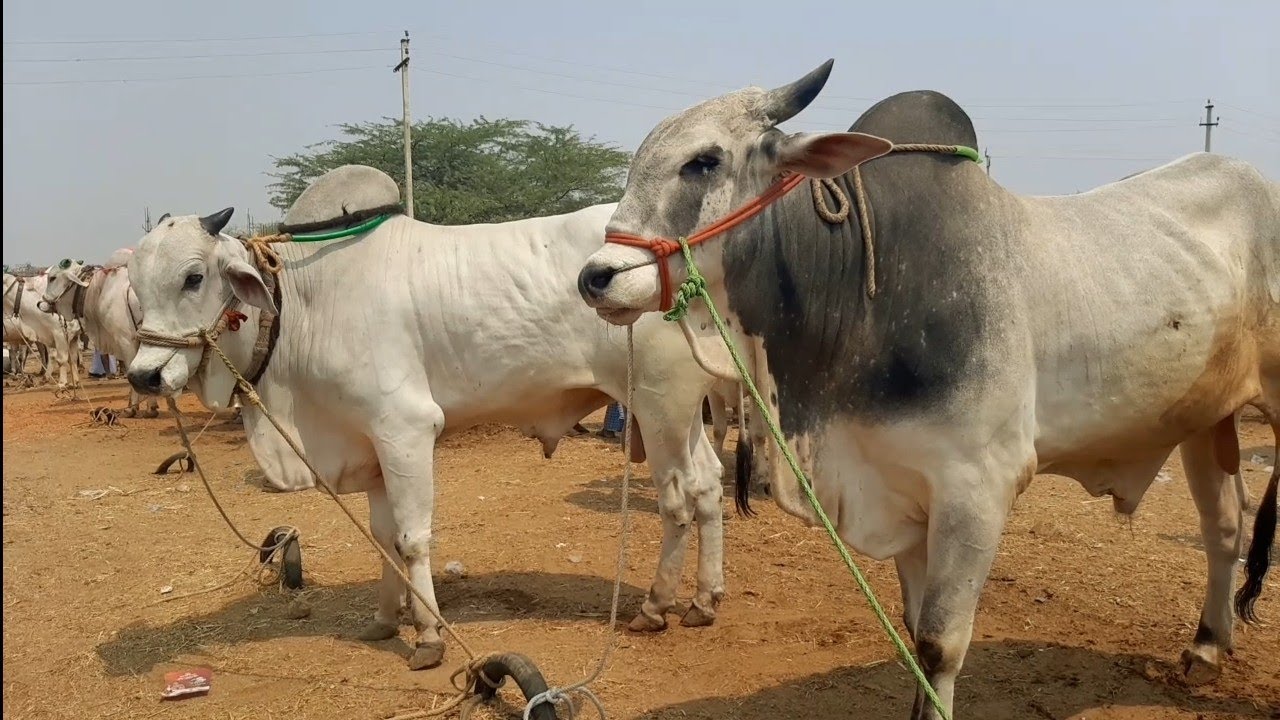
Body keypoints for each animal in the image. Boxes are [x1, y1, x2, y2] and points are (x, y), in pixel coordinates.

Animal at [41, 251, 160, 418]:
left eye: (52, 278)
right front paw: (151, 407)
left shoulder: (126, 340)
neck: (101, 289)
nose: (40, 303)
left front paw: (132, 408)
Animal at [122, 165, 726, 672]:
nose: (144, 376)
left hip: (657, 404)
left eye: (194, 277)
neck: (305, 303)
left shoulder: (404, 429)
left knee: (677, 501)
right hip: (684, 409)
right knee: (710, 485)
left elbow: (412, 538)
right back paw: (704, 599)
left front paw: (431, 636)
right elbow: (383, 537)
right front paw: (386, 620)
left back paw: (655, 605)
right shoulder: (369, 445)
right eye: (135, 286)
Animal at [575, 59, 1280, 719]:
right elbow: (913, 635)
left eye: (704, 161)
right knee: (1224, 523)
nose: (595, 277)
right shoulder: (902, 485)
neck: (863, 290)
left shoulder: (977, 487)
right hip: (1205, 419)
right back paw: (1206, 647)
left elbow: (940, 643)